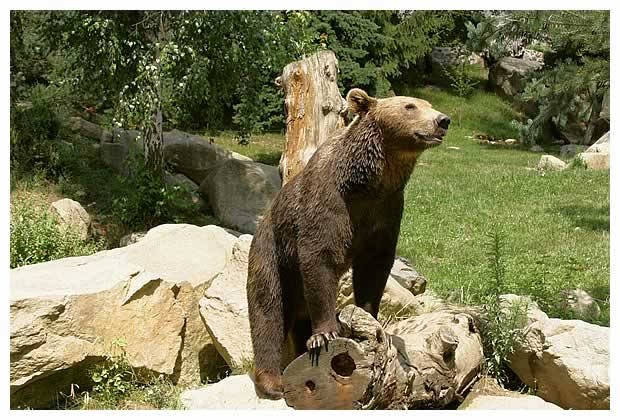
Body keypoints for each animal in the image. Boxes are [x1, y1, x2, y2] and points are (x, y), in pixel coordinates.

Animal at [247, 87, 450, 398]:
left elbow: (374, 267)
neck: (367, 183)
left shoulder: (386, 211)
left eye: (428, 104)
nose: (442, 120)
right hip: (272, 252)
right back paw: (272, 381)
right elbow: (319, 258)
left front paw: (368, 318)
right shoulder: (328, 204)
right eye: (409, 106)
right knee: (268, 309)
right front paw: (325, 333)